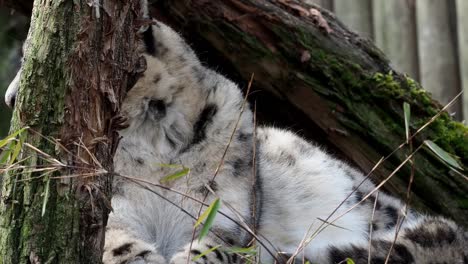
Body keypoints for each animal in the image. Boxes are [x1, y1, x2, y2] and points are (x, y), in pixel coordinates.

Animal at [4, 9, 468, 264]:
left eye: (35, 62)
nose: (10, 99)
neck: (154, 141)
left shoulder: (227, 208)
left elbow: (219, 244)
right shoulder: (110, 201)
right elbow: (112, 237)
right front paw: (139, 258)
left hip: (363, 199)